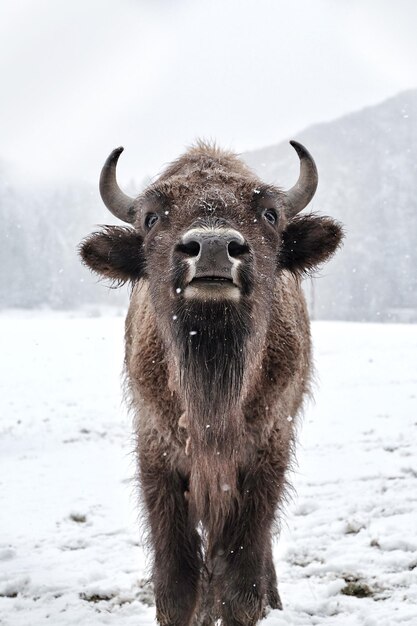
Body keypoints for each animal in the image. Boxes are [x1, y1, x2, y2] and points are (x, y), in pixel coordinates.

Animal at [79, 141, 342, 624]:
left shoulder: (265, 456)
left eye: (270, 214)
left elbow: (241, 579)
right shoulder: (159, 457)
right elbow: (178, 583)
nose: (215, 248)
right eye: (151, 218)